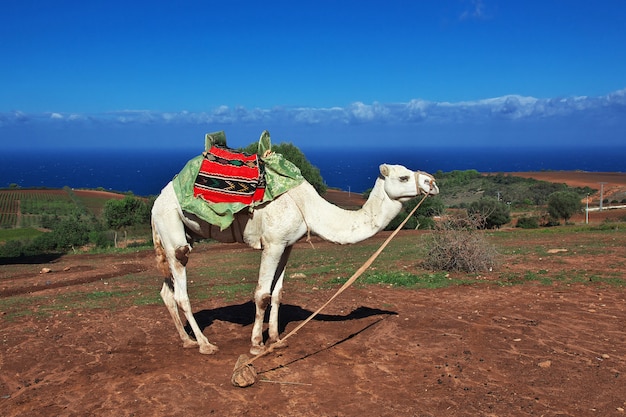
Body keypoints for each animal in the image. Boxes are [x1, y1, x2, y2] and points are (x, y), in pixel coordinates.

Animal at [151, 162, 436, 354]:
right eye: (403, 176)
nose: (431, 183)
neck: (309, 207)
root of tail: (156, 203)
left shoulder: (287, 245)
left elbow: (277, 293)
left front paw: (277, 340)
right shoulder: (272, 243)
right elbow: (262, 295)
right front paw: (257, 345)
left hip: (176, 234)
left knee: (166, 291)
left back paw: (187, 340)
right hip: (172, 227)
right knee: (181, 290)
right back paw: (204, 344)